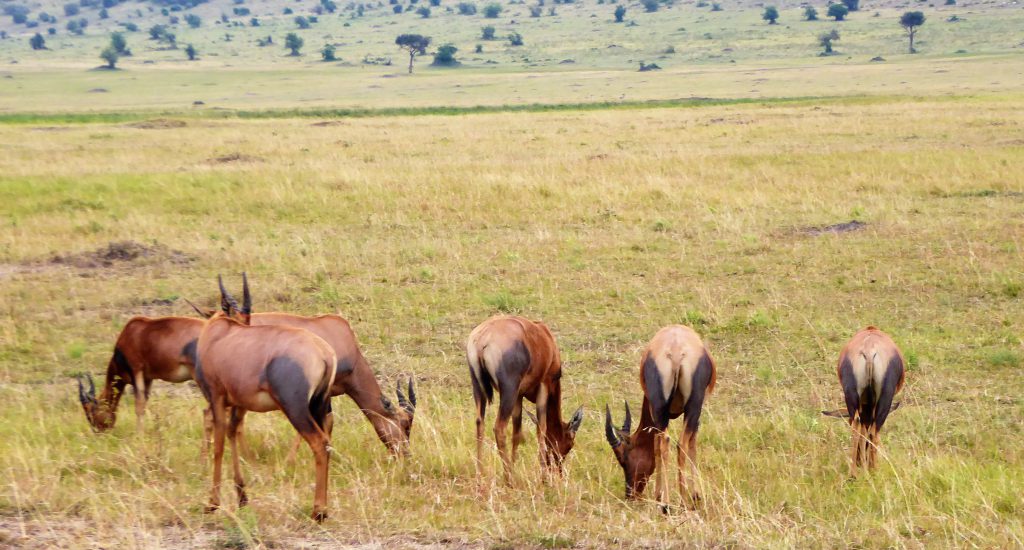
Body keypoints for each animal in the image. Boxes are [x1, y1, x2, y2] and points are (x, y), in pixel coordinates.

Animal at [192, 276, 335, 520]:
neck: (220, 334)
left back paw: (318, 511)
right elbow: (232, 433)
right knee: (326, 442)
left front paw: (212, 503)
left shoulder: (217, 397)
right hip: (319, 405)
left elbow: (219, 444)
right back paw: (323, 509)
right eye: (244, 320)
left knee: (319, 443)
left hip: (295, 407)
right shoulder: (239, 404)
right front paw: (242, 497)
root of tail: (324, 352)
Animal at [466, 313, 585, 479]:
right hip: (508, 390)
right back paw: (509, 479)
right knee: (499, 428)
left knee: (479, 424)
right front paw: (543, 477)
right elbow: (541, 428)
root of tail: (483, 338)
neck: (547, 341)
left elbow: (517, 433)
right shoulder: (544, 386)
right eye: (570, 442)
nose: (559, 472)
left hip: (478, 386)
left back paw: (480, 475)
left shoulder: (519, 395)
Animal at [602, 325, 716, 510]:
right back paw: (673, 503)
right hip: (686, 407)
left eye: (624, 460)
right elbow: (688, 443)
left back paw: (671, 502)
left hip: (667, 408)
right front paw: (694, 495)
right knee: (675, 443)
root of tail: (676, 352)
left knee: (670, 443)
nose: (630, 495)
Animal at [823, 325, 905, 475]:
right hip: (885, 398)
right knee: (873, 431)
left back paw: (853, 474)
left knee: (857, 427)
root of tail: (869, 350)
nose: (861, 462)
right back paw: (873, 470)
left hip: (852, 396)